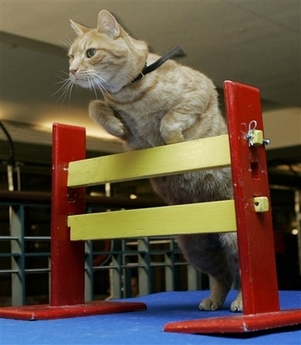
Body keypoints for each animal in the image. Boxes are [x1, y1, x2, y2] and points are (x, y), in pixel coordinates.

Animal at [67, 10, 241, 312]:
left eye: (90, 53)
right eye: (70, 56)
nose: (72, 71)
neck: (130, 94)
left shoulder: (202, 90)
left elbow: (169, 123)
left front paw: (178, 145)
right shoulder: (132, 137)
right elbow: (95, 106)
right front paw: (113, 123)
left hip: (235, 240)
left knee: (247, 275)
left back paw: (242, 302)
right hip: (197, 247)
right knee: (224, 275)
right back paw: (214, 300)